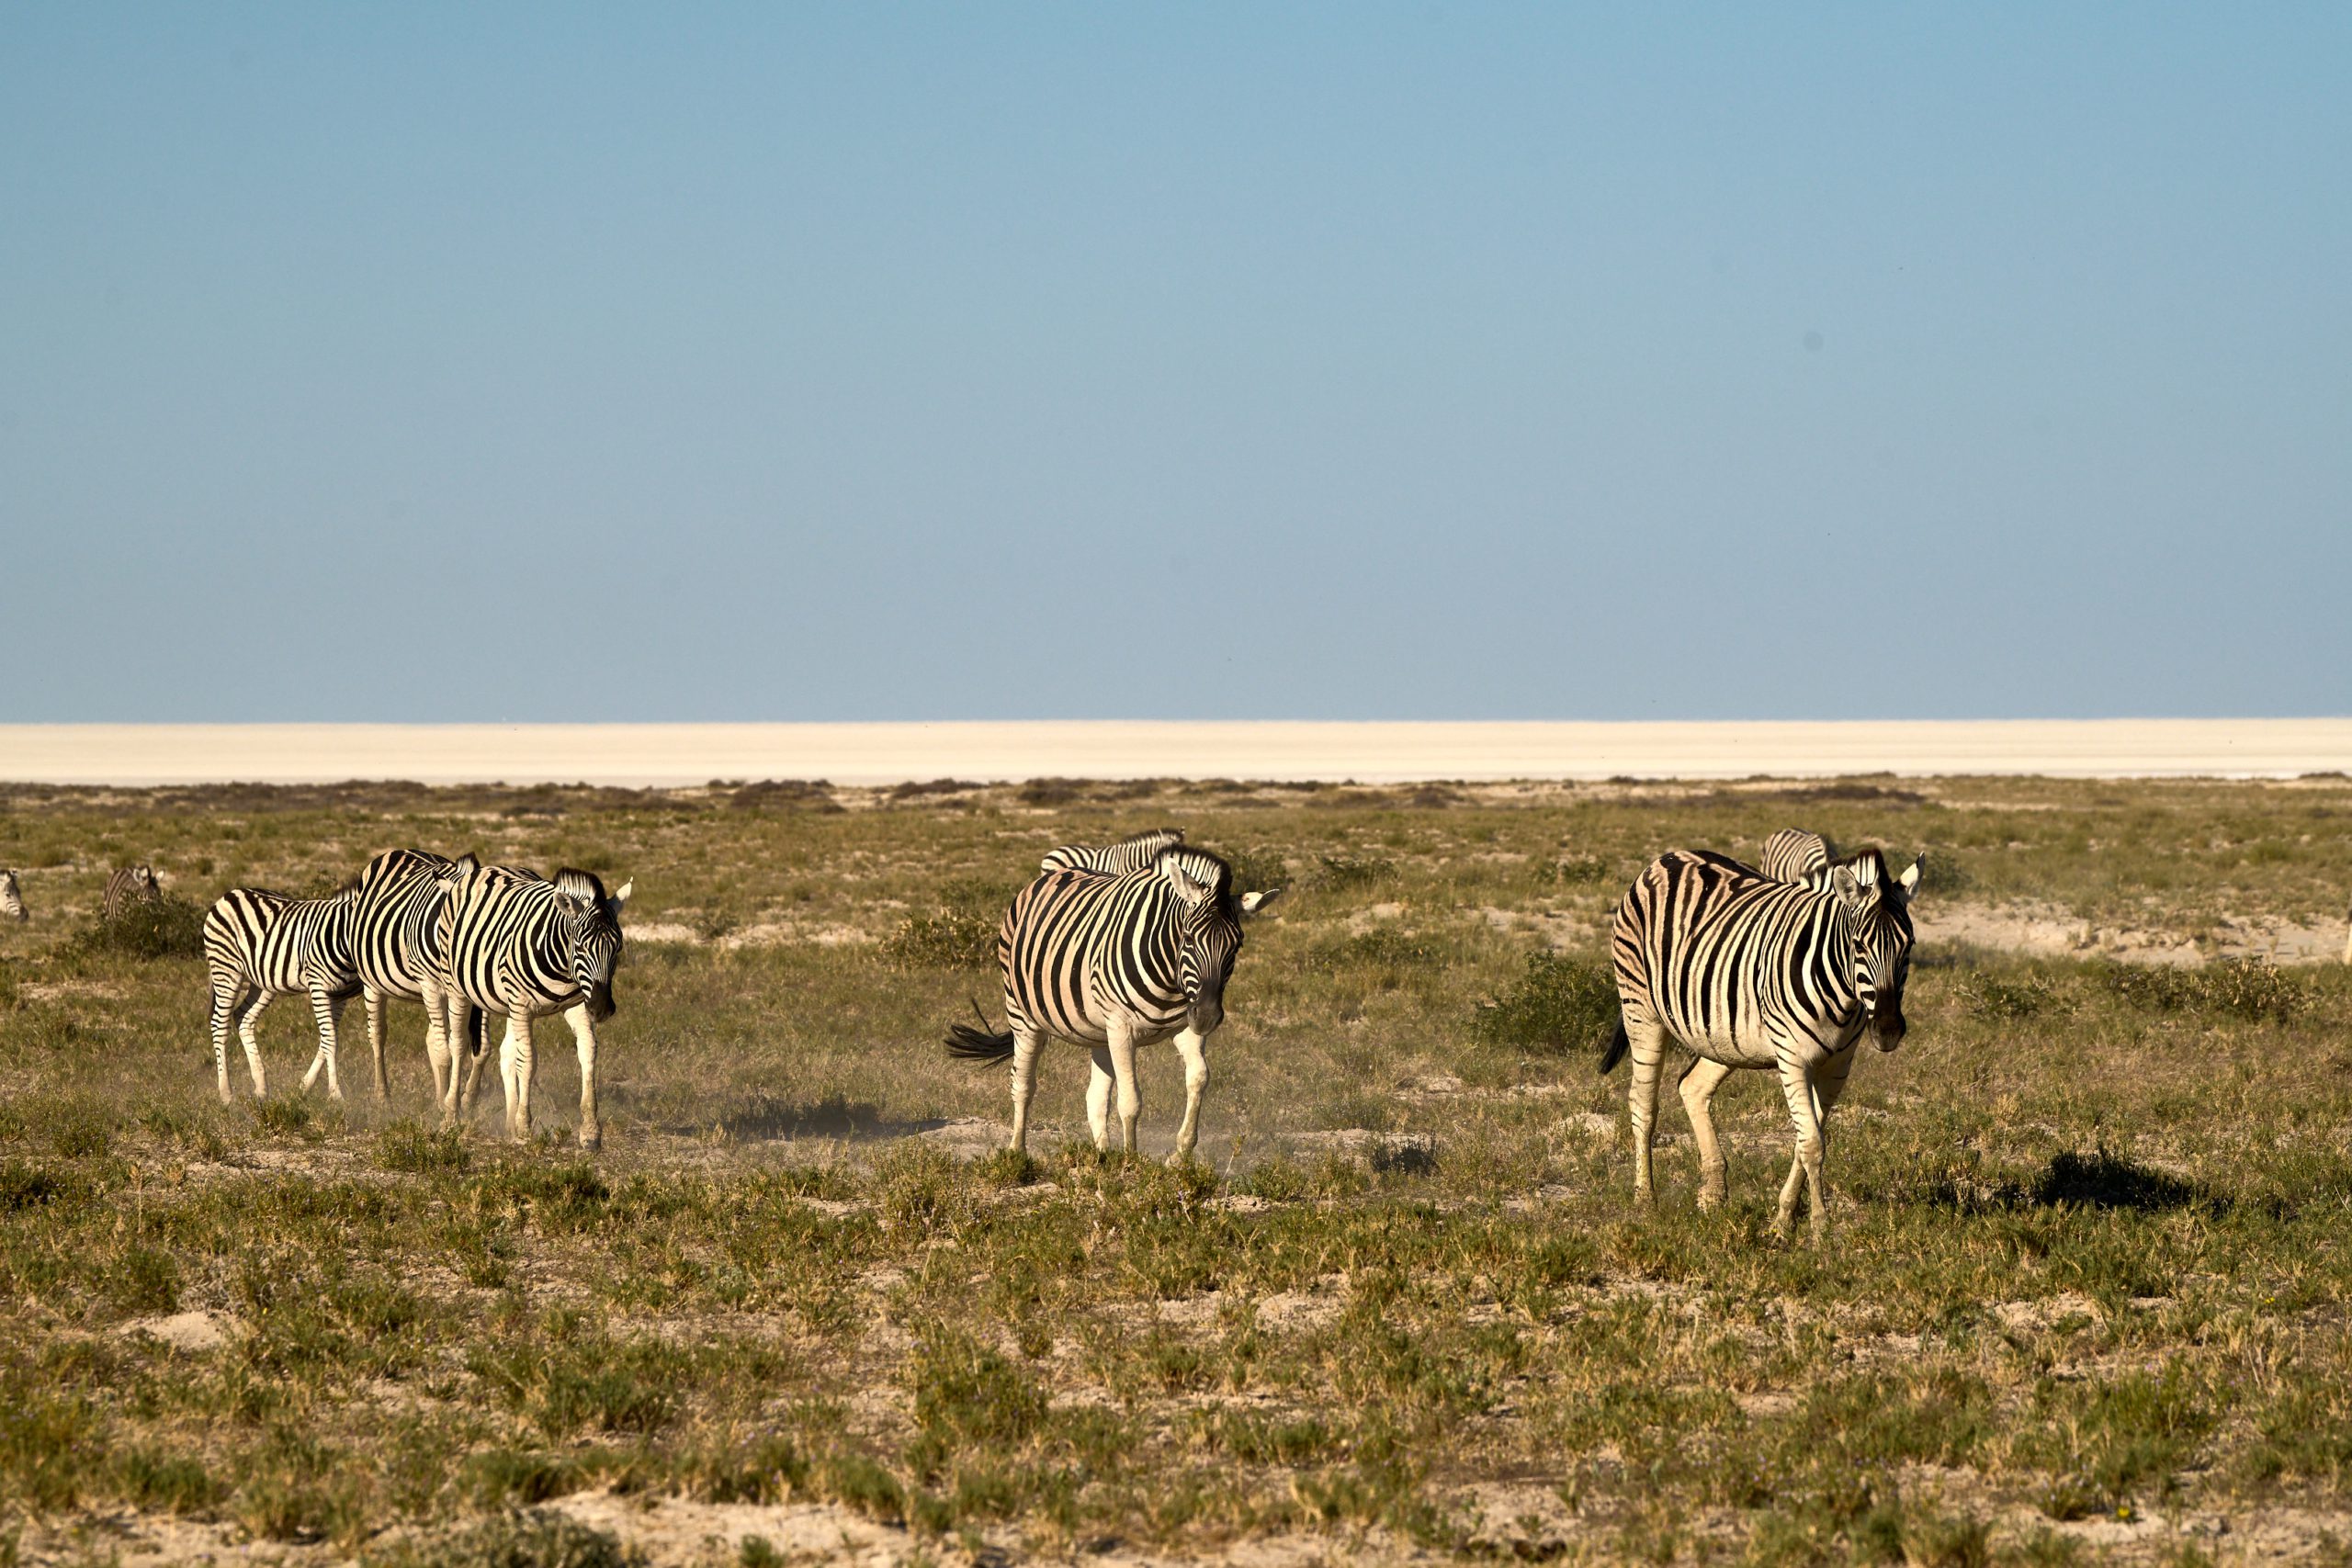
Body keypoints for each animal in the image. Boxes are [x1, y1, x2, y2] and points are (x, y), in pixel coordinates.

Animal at [202, 884, 362, 1104]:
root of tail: (230, 894)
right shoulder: (319, 986)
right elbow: (330, 1038)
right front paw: (336, 1094)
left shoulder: (340, 995)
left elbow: (329, 1037)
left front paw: (305, 1086)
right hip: (226, 968)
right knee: (219, 1024)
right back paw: (226, 1093)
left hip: (263, 982)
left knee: (243, 1017)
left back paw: (261, 1087)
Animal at [350, 846, 484, 1104]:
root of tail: (400, 850)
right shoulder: (431, 986)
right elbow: (444, 1052)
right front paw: (447, 1103)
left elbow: (481, 1049)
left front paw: (468, 1099)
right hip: (372, 982)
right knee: (378, 1033)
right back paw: (382, 1095)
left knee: (431, 1037)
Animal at [437, 864, 630, 1146]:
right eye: (580, 947)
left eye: (618, 948)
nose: (602, 1008)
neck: (562, 966)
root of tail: (488, 868)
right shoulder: (523, 1005)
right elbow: (527, 1061)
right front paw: (525, 1127)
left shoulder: (577, 1004)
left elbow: (588, 1051)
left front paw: (590, 1130)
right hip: (457, 988)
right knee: (459, 1045)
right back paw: (451, 1115)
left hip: (509, 1004)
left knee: (507, 1053)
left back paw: (507, 1124)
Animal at [941, 846, 1288, 1166]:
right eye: (1188, 938)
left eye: (1237, 945)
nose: (1208, 1017)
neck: (1169, 973)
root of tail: (1048, 876)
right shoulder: (1122, 1026)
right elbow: (1130, 1100)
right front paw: (1131, 1161)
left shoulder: (1181, 1025)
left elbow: (1199, 1077)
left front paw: (1180, 1153)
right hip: (1023, 1015)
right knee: (1023, 1085)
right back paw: (1017, 1154)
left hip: (1098, 1031)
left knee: (1094, 1097)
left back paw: (1102, 1157)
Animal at [1609, 846, 1918, 1241]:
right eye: (1858, 946)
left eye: (1908, 946)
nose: (1888, 1030)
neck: (1843, 996)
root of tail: (1667, 858)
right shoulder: (1793, 1058)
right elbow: (1813, 1143)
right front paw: (1819, 1227)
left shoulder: (1836, 1068)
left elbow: (1807, 1140)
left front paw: (1784, 1219)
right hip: (1640, 1008)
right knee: (1644, 1104)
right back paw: (1646, 1201)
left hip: (1723, 1033)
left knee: (1692, 1086)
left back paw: (1713, 1195)